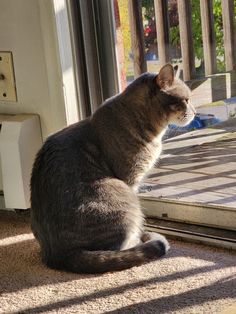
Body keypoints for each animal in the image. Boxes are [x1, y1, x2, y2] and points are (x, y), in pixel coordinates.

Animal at [30, 63, 195, 272]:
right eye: (186, 100)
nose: (195, 112)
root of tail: (58, 255)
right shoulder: (131, 180)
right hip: (123, 198)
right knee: (120, 248)